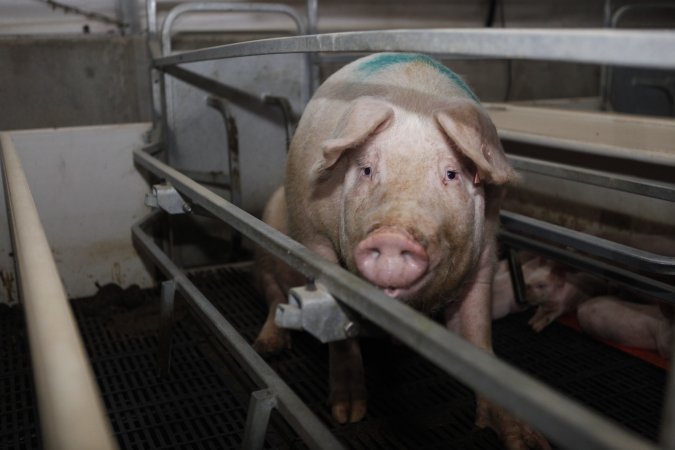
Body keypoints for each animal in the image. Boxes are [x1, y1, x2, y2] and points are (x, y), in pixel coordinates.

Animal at [252, 53, 548, 450]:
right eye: (366, 169)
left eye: (451, 174)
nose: (393, 236)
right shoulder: (312, 235)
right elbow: (339, 334)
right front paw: (348, 414)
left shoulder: (486, 249)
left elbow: (478, 336)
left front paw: (527, 442)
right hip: (265, 249)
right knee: (273, 296)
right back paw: (268, 346)